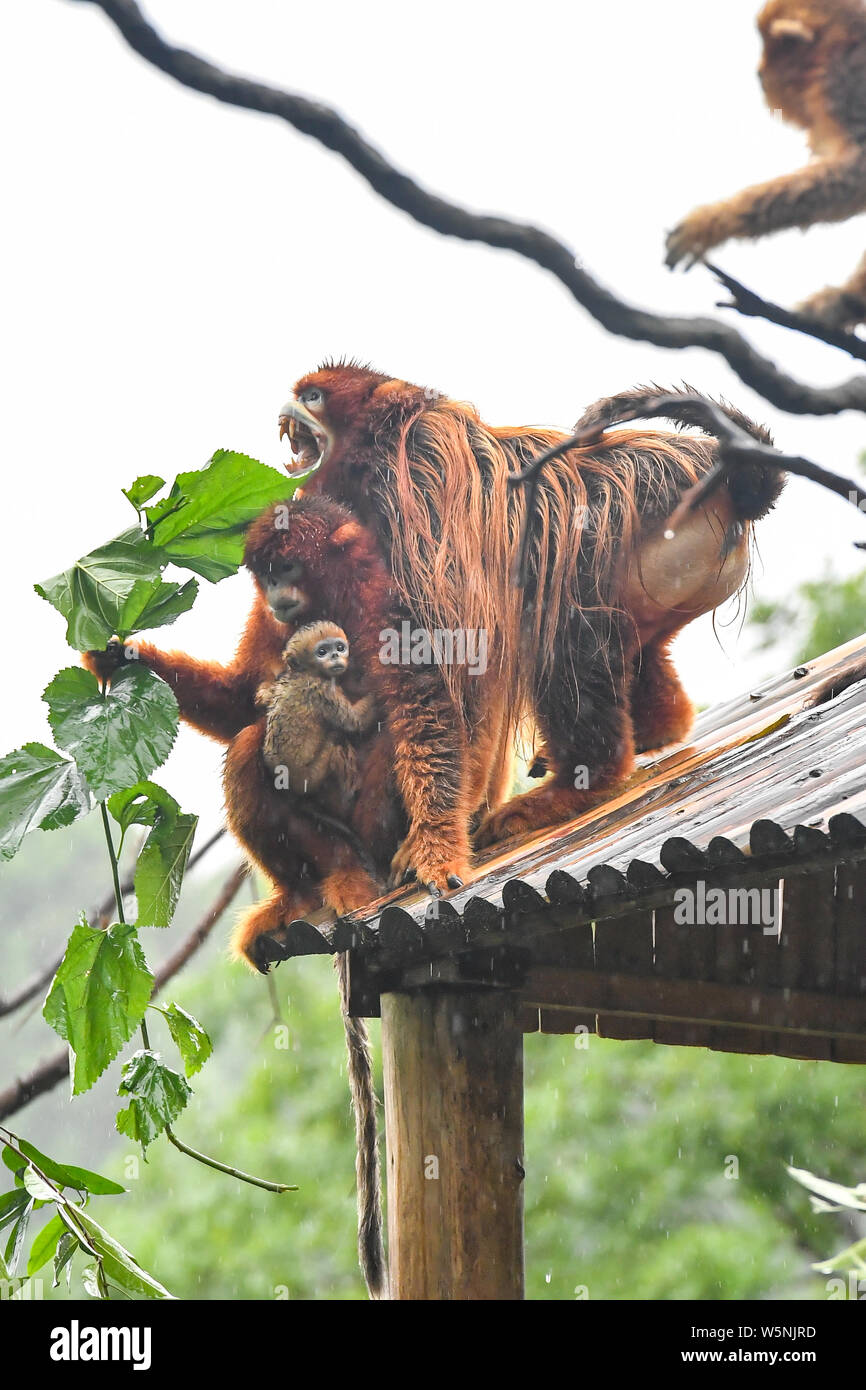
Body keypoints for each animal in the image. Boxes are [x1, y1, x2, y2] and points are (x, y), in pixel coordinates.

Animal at [277, 365, 784, 890]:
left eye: (313, 397)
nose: (287, 409)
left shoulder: (410, 490)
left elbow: (441, 664)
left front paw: (436, 845)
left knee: (562, 624)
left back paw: (587, 781)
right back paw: (661, 726)